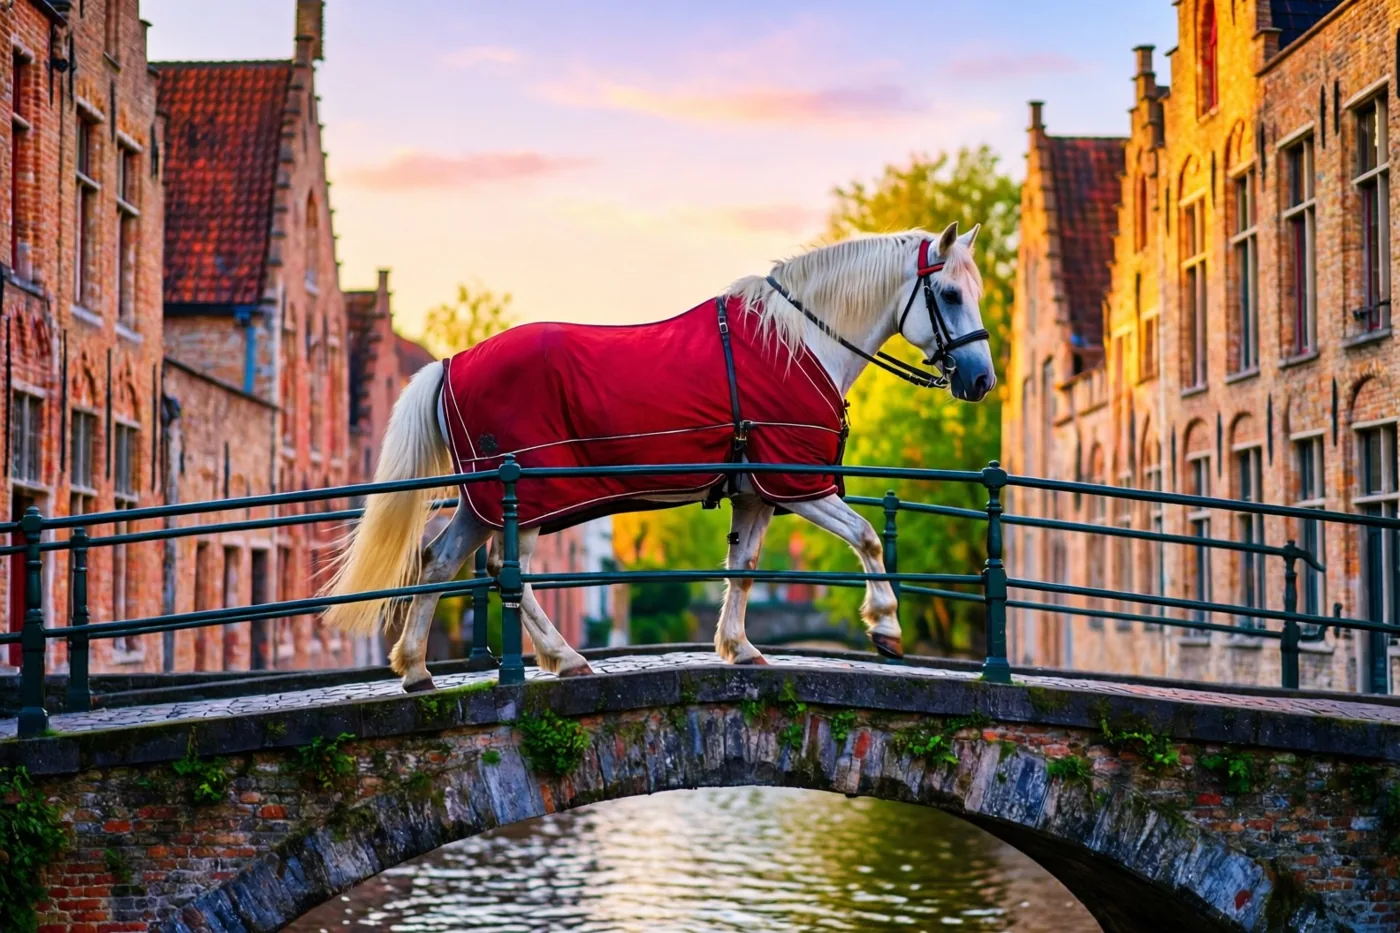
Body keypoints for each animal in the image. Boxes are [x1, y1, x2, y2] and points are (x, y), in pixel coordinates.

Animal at [322, 222, 996, 693]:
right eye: (949, 293)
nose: (982, 380)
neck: (797, 343)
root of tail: (449, 363)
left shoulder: (756, 494)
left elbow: (743, 568)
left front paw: (739, 647)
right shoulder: (798, 482)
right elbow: (868, 537)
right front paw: (885, 627)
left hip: (482, 500)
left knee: (440, 561)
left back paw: (418, 670)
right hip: (525, 497)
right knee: (505, 570)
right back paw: (565, 659)